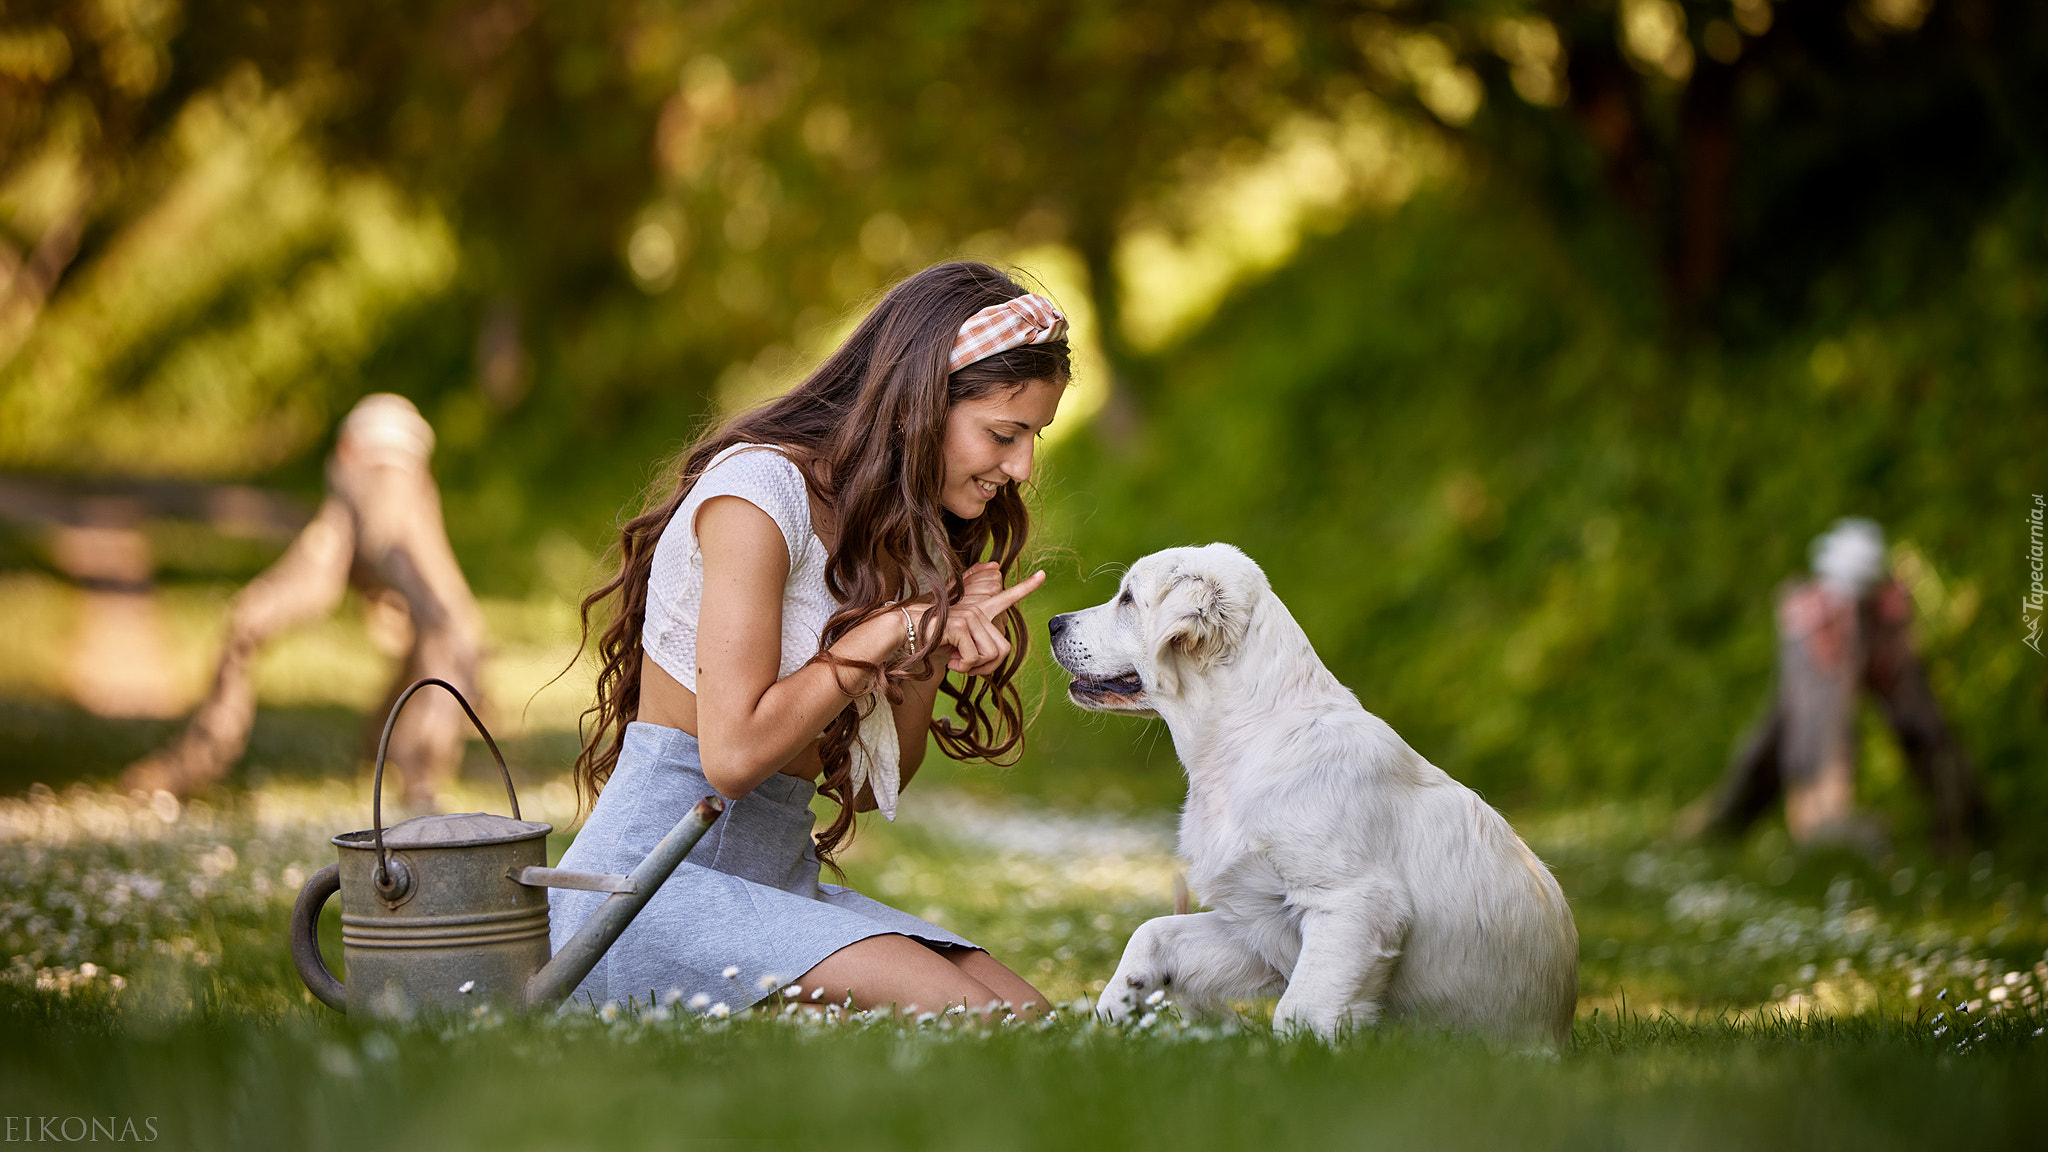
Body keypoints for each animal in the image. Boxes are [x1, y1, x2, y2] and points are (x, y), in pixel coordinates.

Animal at [1048, 541, 1572, 1045]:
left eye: (1128, 599)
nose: (1053, 623)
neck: (1252, 737)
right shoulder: (1257, 919)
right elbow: (1155, 931)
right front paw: (1116, 1005)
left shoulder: (1352, 905)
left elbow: (1300, 1012)